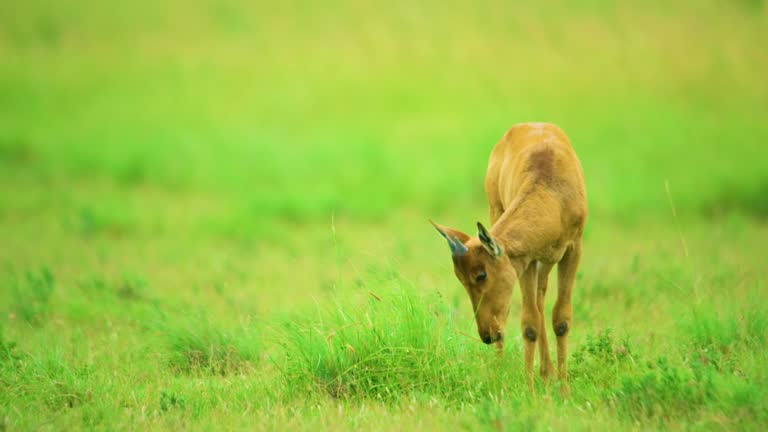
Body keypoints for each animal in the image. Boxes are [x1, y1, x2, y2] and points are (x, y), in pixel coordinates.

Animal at [432, 122, 588, 394]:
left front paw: (564, 389)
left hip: (546, 261)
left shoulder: (572, 250)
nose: (487, 335)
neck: (551, 185)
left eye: (481, 274)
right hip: (499, 216)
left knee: (540, 299)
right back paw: (507, 369)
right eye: (460, 279)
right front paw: (530, 390)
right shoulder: (525, 259)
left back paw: (547, 372)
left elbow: (561, 318)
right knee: (532, 307)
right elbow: (529, 323)